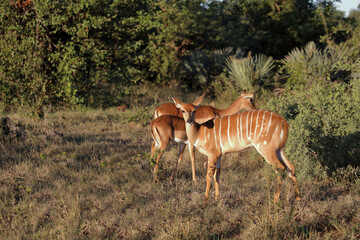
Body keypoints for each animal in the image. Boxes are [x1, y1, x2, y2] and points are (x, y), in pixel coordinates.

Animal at [172, 94, 300, 203]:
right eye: (183, 110)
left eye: (194, 110)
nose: (189, 120)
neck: (199, 131)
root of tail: (284, 123)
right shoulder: (219, 155)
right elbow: (217, 175)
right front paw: (217, 199)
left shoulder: (212, 154)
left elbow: (208, 176)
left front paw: (205, 201)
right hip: (278, 149)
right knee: (290, 168)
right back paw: (297, 199)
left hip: (266, 149)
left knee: (281, 169)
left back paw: (275, 200)